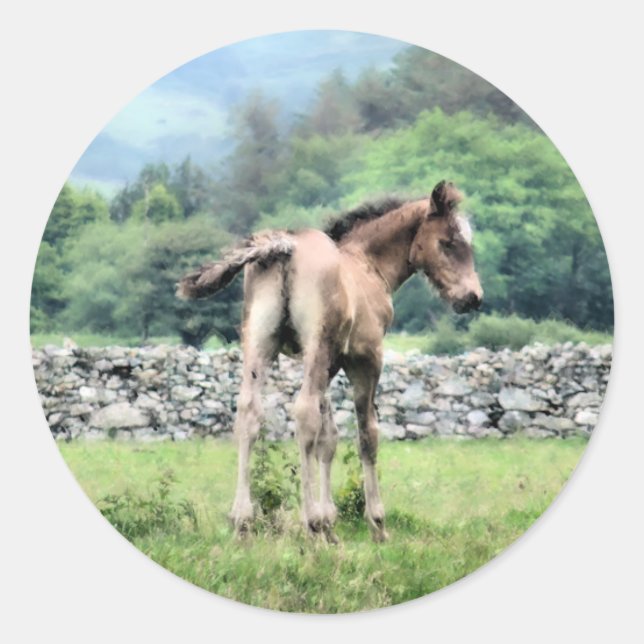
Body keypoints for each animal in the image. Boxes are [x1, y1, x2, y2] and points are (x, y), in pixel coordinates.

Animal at [177, 180, 483, 542]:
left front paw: (329, 525)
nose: (472, 298)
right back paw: (307, 521)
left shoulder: (327, 362)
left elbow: (329, 438)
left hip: (259, 342)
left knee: (249, 412)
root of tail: (284, 246)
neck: (367, 265)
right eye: (448, 242)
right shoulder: (364, 358)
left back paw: (243, 521)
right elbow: (366, 434)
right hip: (316, 344)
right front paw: (375, 524)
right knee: (304, 413)